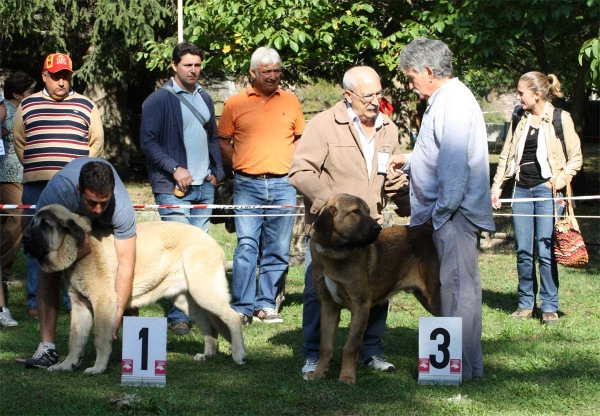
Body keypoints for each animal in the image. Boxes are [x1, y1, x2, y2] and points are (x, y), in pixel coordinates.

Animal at [22, 204, 245, 374]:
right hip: (187, 300)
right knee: (209, 326)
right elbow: (75, 340)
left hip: (204, 292)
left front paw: (98, 368)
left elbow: (99, 338)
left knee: (233, 317)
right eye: (32, 223)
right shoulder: (80, 307)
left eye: (45, 225)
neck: (80, 250)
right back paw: (207, 354)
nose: (24, 238)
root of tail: (212, 241)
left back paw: (239, 355)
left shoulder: (104, 303)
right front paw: (67, 365)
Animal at [308, 193, 438, 386]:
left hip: (435, 298)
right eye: (355, 212)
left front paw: (347, 377)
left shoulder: (360, 306)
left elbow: (351, 345)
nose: (377, 228)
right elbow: (325, 345)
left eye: (368, 211)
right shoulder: (329, 307)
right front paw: (318, 373)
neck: (334, 252)